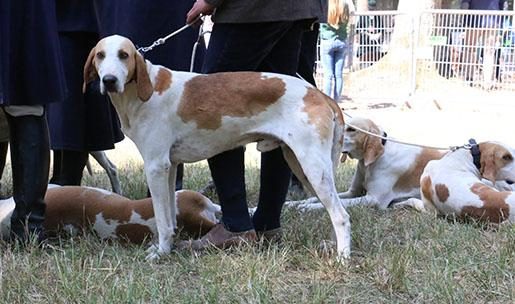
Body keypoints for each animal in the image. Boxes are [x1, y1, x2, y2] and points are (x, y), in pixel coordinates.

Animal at [82, 35, 350, 258]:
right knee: (334, 212)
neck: (143, 91)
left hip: (313, 168)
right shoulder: (170, 168)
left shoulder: (155, 167)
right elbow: (169, 217)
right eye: (100, 55)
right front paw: (169, 245)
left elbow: (161, 220)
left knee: (341, 216)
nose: (109, 80)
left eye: (124, 55)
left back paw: (342, 258)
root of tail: (319, 94)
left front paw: (161, 252)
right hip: (302, 168)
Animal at [288, 116, 446, 211]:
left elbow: (342, 203)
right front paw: (296, 203)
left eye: (352, 129)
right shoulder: (353, 192)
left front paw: (308, 208)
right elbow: (317, 197)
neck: (367, 164)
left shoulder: (373, 199)